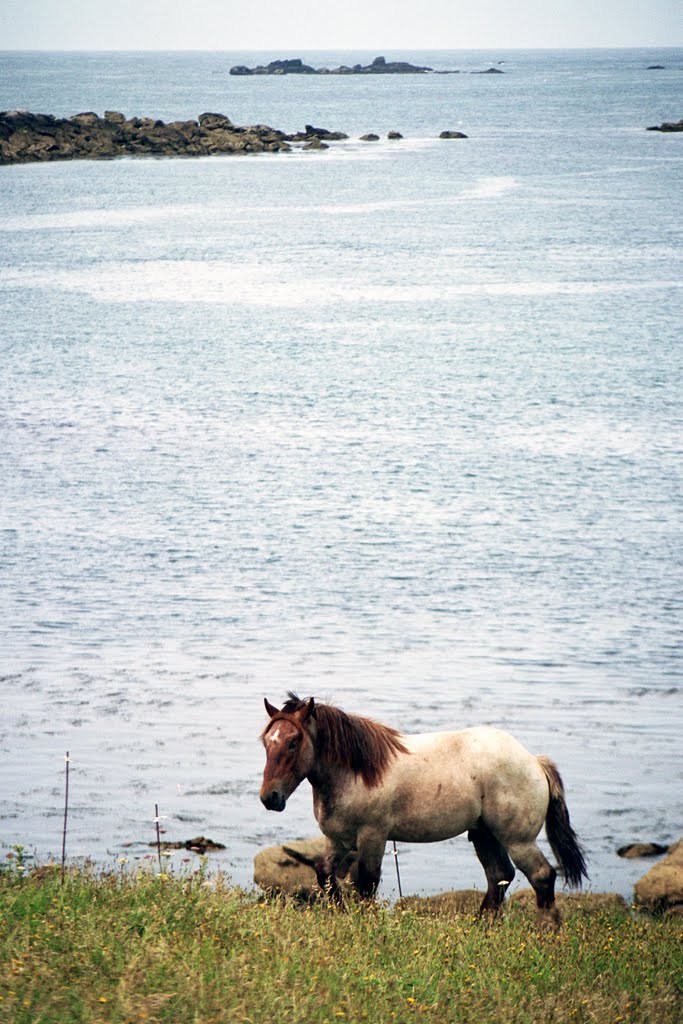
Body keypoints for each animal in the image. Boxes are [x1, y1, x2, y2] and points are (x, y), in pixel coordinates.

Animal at [260, 692, 589, 925]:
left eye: (293, 742)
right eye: (267, 741)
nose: (270, 798)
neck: (355, 771)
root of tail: (534, 761)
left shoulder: (372, 836)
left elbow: (367, 882)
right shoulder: (340, 840)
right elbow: (326, 875)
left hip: (518, 841)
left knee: (541, 876)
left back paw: (546, 931)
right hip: (484, 834)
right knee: (499, 875)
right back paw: (482, 927)